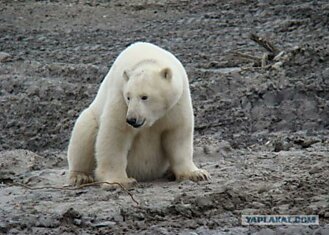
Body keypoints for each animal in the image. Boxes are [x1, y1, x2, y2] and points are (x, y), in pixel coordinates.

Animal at [67, 41, 209, 187]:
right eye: (128, 97)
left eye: (144, 97)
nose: (132, 119)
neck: (146, 59)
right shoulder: (120, 98)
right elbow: (115, 134)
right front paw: (120, 181)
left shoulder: (176, 103)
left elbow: (177, 133)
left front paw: (197, 174)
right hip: (92, 117)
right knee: (84, 134)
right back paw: (80, 176)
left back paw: (170, 173)